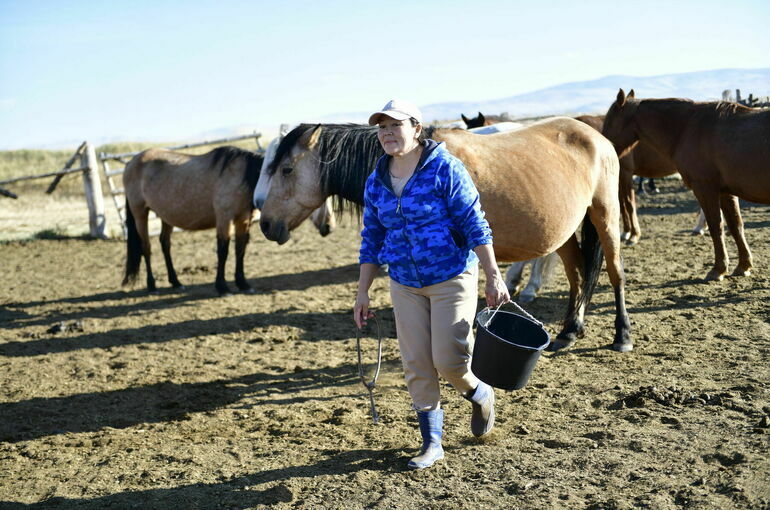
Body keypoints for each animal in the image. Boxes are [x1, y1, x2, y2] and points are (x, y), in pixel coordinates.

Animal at [121, 144, 332, 294]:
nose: (329, 227)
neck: (244, 175)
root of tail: (131, 163)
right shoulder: (224, 218)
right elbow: (223, 250)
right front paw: (222, 286)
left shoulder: (243, 220)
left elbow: (240, 249)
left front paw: (243, 283)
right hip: (140, 213)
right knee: (146, 247)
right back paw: (152, 285)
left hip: (166, 216)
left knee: (165, 244)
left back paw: (176, 282)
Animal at [255, 120, 632, 352]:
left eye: (286, 169)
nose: (265, 222)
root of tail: (594, 134)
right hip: (564, 231)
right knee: (577, 275)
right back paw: (569, 331)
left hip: (605, 214)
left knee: (614, 273)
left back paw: (622, 334)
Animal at [600, 89, 768, 280]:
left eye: (609, 120)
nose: (603, 149)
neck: (687, 128)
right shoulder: (726, 192)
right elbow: (735, 225)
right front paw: (743, 265)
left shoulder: (705, 188)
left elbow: (715, 226)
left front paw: (718, 269)